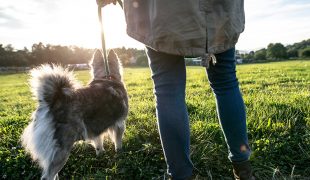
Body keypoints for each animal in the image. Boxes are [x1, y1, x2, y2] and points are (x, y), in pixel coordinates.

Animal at [21, 49, 128, 180]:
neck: (107, 77)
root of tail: (53, 101)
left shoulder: (95, 129)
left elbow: (98, 143)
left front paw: (101, 154)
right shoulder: (120, 124)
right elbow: (118, 142)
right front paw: (119, 152)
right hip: (62, 150)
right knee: (48, 175)